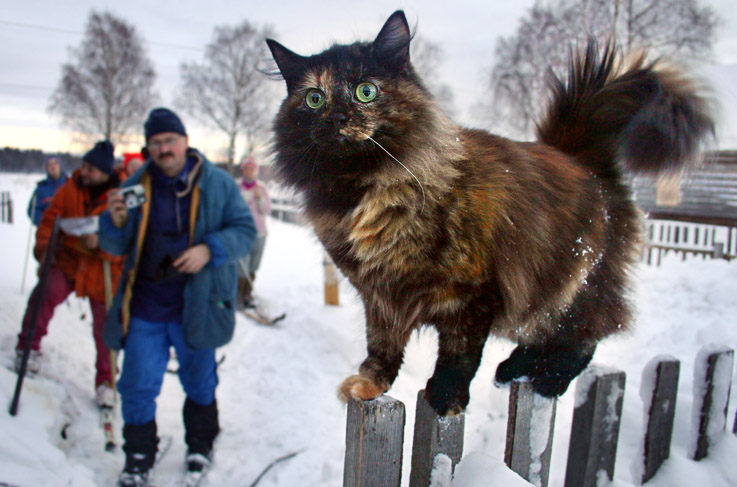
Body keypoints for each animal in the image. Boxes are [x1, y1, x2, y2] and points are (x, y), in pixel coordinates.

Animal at [266, 10, 712, 416]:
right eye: (314, 99)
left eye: (365, 91)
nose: (336, 118)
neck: (365, 189)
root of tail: (581, 158)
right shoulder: (380, 296)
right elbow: (382, 347)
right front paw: (370, 384)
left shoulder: (472, 293)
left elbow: (459, 356)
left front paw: (445, 398)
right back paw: (513, 370)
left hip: (573, 282)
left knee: (589, 334)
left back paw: (548, 379)